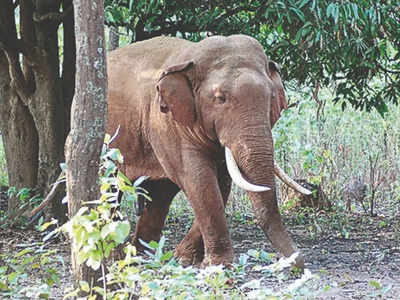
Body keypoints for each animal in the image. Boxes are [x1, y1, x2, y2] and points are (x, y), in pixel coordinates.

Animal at [107, 34, 310, 268]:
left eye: (270, 98)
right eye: (220, 98)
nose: (298, 261)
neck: (191, 55)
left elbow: (222, 183)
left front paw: (186, 260)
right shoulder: (165, 123)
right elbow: (198, 179)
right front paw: (219, 265)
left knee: (160, 194)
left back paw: (143, 255)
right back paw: (117, 254)